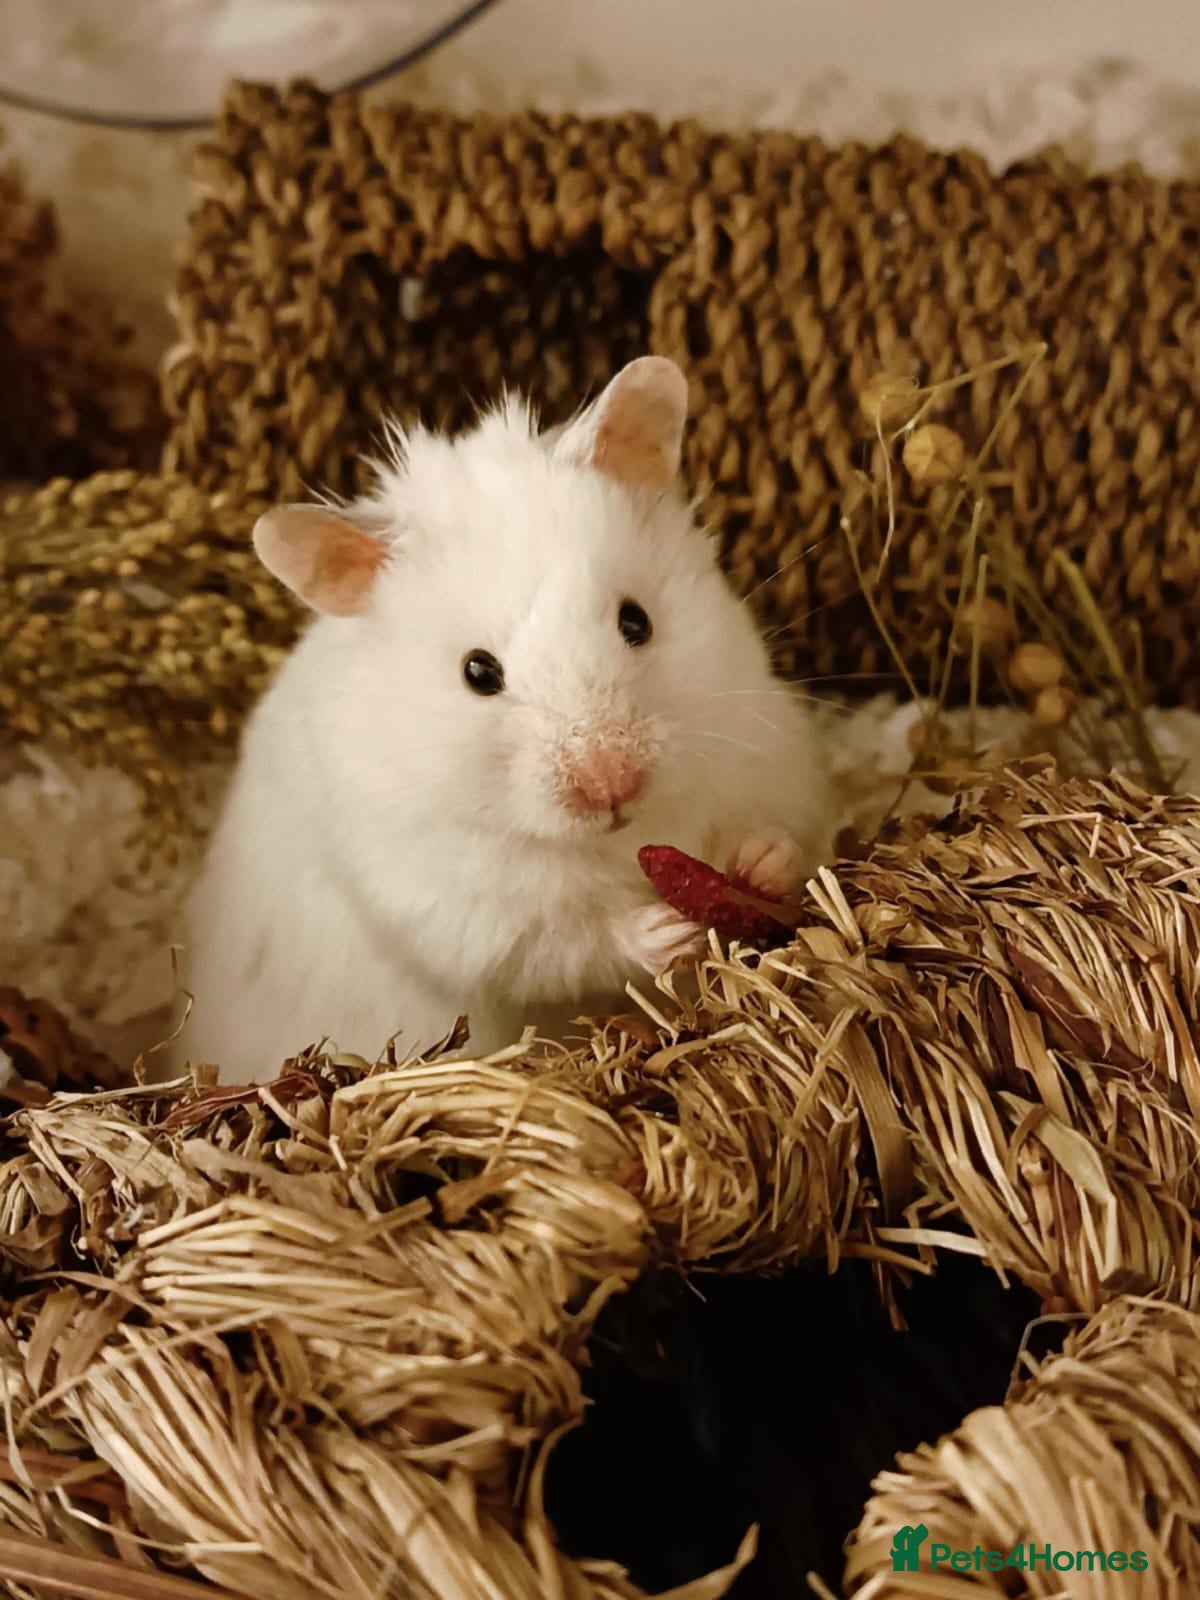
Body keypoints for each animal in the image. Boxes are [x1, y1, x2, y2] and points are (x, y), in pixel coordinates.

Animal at [174, 356, 836, 1084]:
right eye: (478, 673)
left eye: (636, 621)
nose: (613, 787)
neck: (620, 838)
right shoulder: (467, 909)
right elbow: (568, 942)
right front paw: (664, 932)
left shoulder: (764, 752)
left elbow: (783, 833)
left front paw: (759, 865)